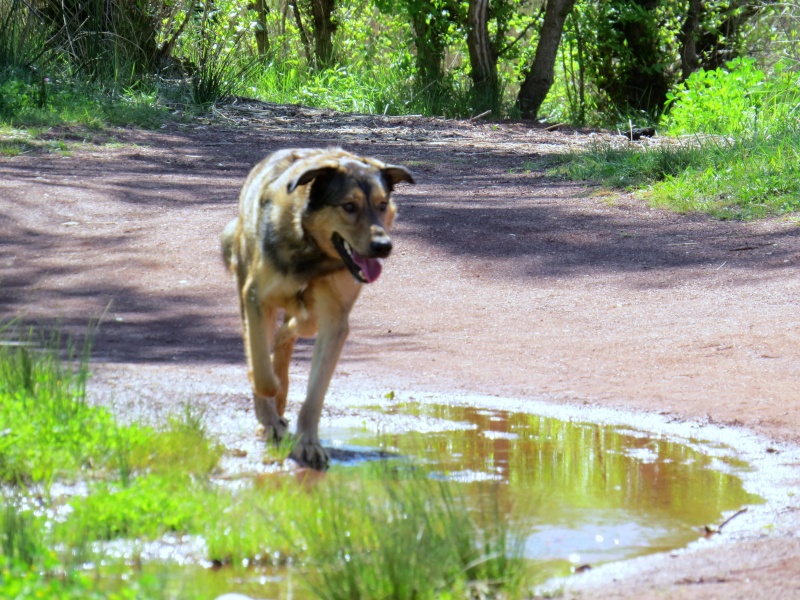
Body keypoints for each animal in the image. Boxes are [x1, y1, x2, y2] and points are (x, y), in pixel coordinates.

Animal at [222, 149, 416, 468]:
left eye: (382, 204)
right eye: (349, 206)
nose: (383, 246)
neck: (313, 253)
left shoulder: (335, 322)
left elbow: (315, 395)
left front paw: (308, 444)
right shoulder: (256, 298)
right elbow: (261, 370)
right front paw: (269, 408)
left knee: (291, 331)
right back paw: (271, 416)